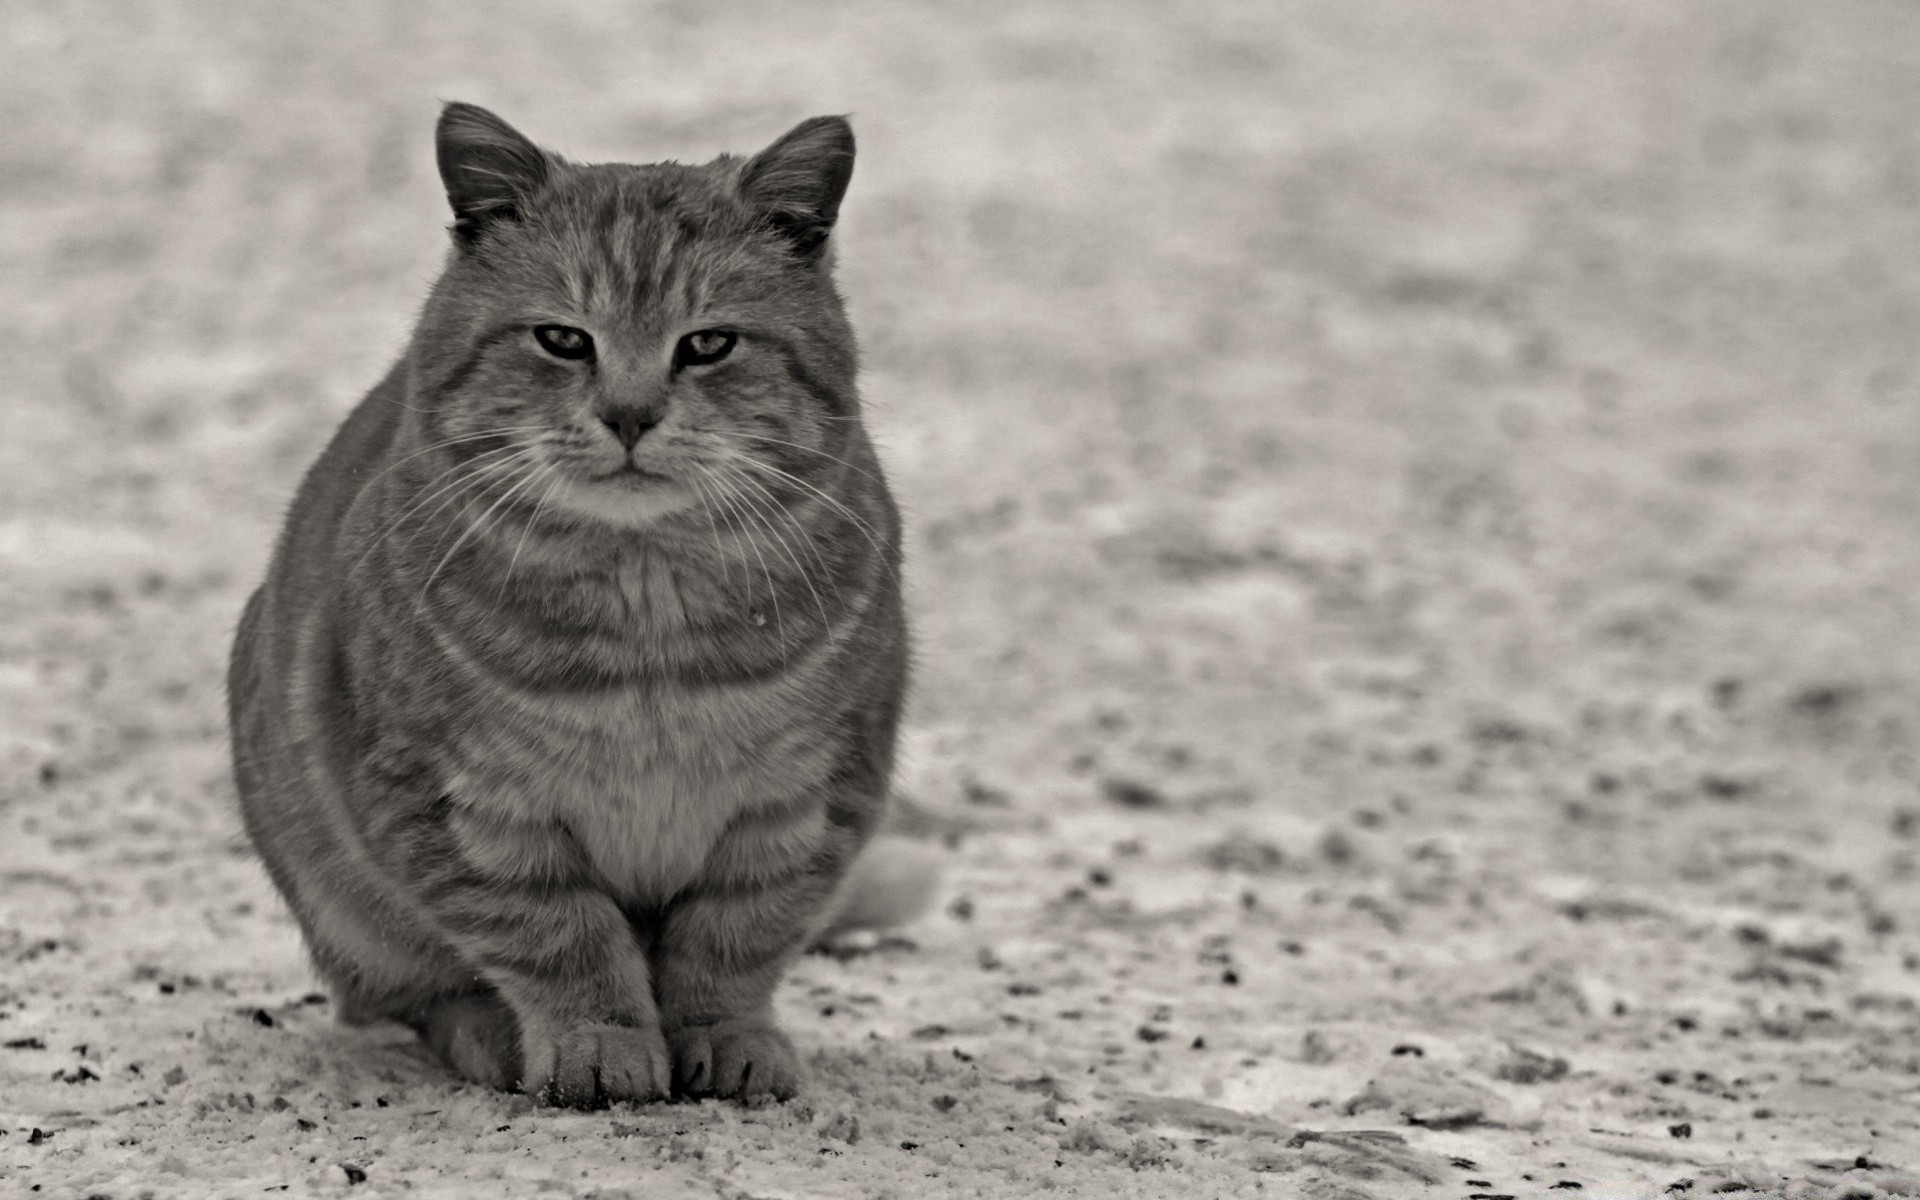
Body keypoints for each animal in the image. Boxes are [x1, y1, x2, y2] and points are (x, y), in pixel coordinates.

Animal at [230, 102, 921, 1105]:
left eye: (707, 343)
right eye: (563, 339)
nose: (629, 415)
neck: (649, 622)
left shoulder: (804, 801)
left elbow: (734, 941)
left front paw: (726, 1037)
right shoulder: (465, 807)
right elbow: (560, 938)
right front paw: (599, 1042)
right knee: (413, 996)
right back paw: (490, 1036)